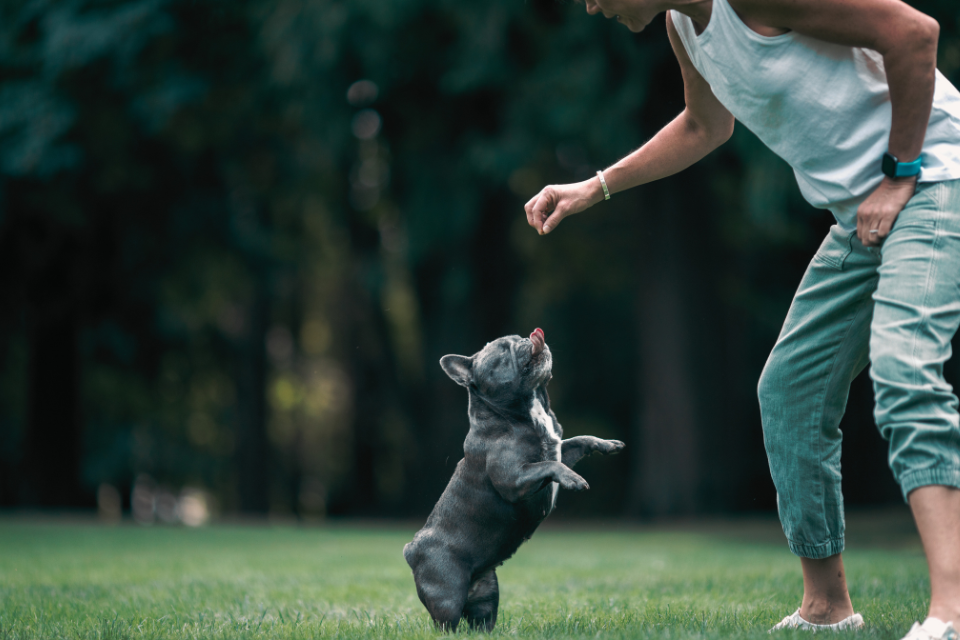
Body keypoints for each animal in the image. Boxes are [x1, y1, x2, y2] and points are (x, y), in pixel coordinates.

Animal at [404, 330, 624, 632]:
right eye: (502, 351)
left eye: (517, 338)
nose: (527, 338)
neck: (524, 411)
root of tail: (410, 550)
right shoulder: (514, 479)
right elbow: (549, 465)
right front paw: (575, 479)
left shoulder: (559, 448)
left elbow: (577, 442)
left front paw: (607, 444)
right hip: (446, 594)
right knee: (446, 623)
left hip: (487, 593)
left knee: (481, 619)